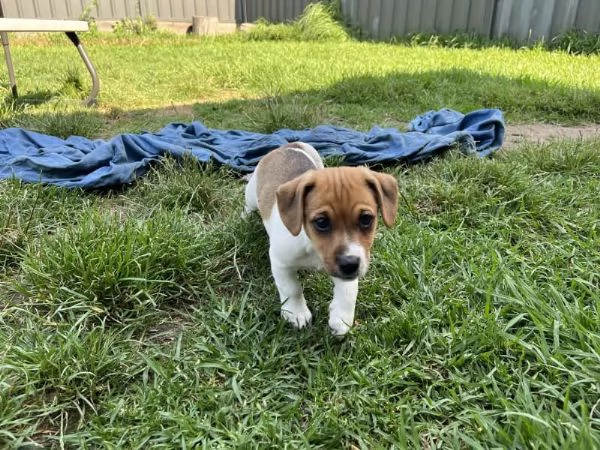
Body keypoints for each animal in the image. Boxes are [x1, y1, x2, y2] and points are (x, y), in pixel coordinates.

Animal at [241, 142, 396, 336]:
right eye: (321, 222)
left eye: (366, 219)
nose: (350, 264)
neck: (312, 247)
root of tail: (288, 145)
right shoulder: (280, 262)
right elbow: (291, 289)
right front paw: (296, 312)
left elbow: (349, 291)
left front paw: (342, 317)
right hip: (251, 195)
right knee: (247, 206)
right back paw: (245, 217)